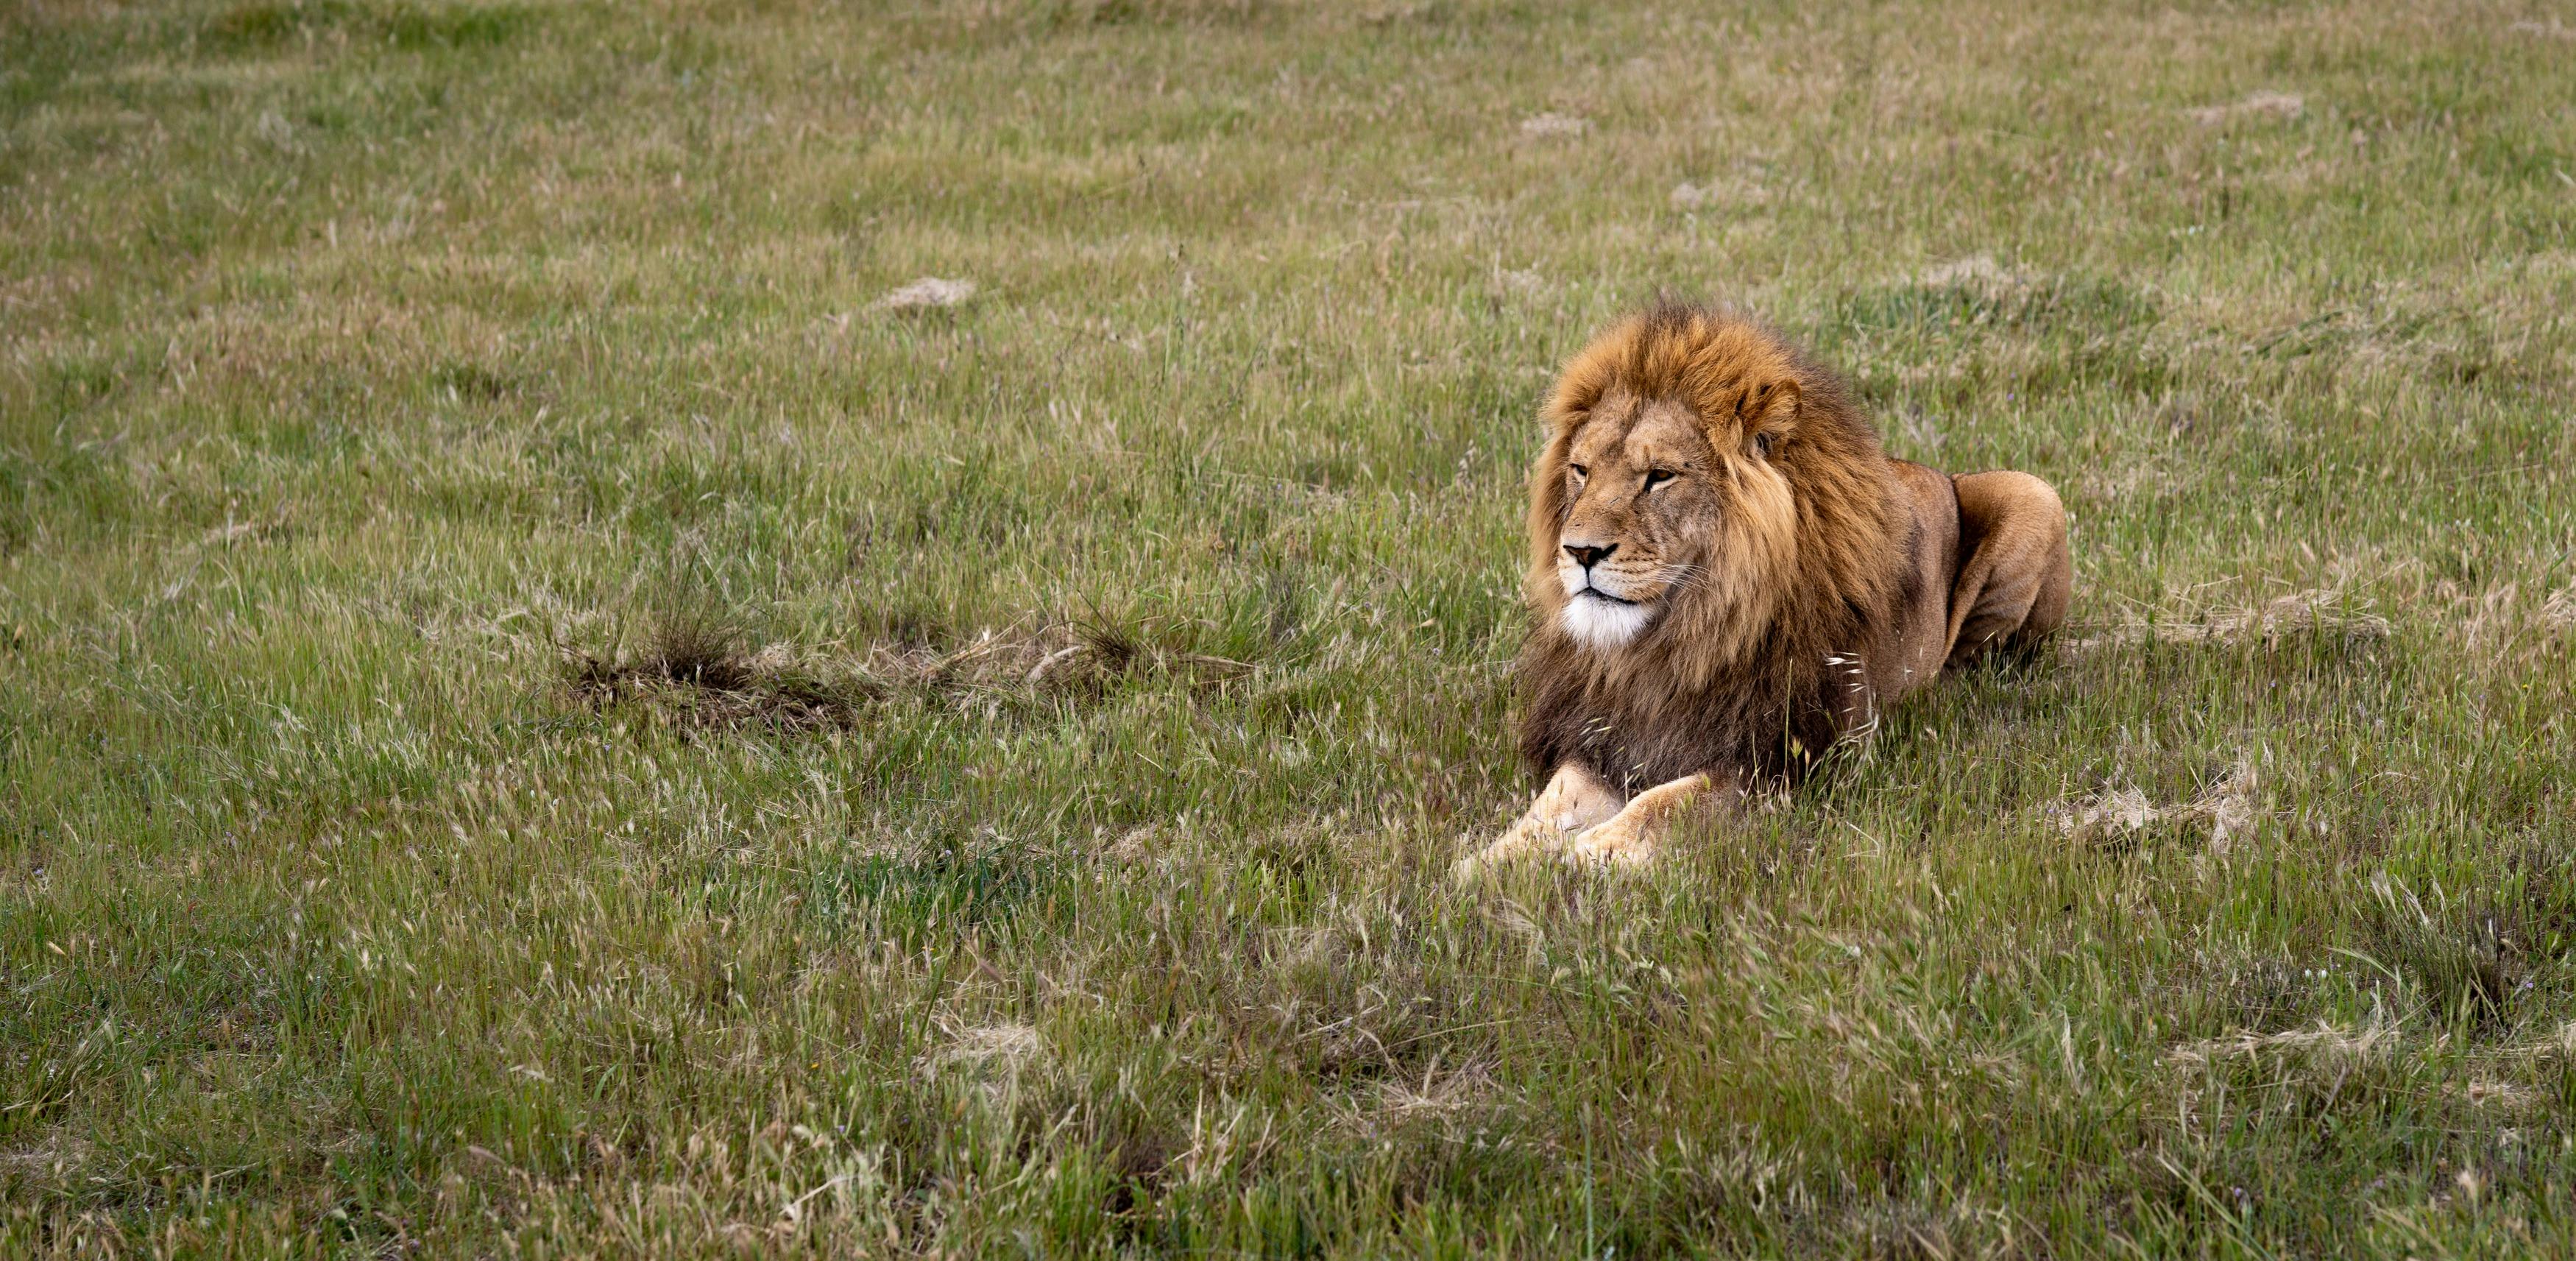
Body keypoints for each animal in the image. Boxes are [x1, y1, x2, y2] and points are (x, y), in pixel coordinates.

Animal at [1456, 301, 2071, 875]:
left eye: (1660, 476)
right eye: (1581, 471)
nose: (1580, 551)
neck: (1675, 642)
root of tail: (1939, 472)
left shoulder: (1786, 760)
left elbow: (1667, 803)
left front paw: (1595, 852)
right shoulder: (1607, 737)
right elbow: (1549, 803)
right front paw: (1488, 863)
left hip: (2035, 494)